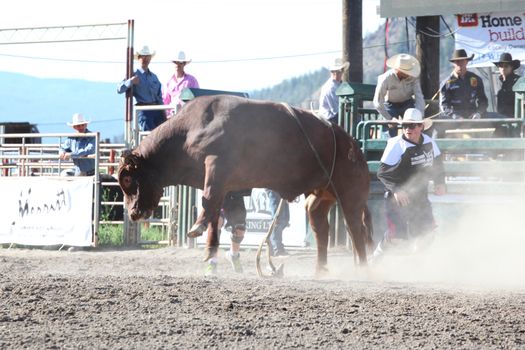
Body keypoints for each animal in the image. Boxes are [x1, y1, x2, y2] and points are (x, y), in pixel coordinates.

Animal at [118, 95, 372, 274]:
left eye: (128, 179)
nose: (132, 213)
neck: (189, 129)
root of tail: (351, 143)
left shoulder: (216, 164)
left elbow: (209, 199)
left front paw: (196, 227)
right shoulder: (224, 185)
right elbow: (215, 213)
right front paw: (210, 249)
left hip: (350, 194)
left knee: (356, 229)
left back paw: (362, 268)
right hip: (320, 196)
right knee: (322, 228)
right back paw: (320, 270)